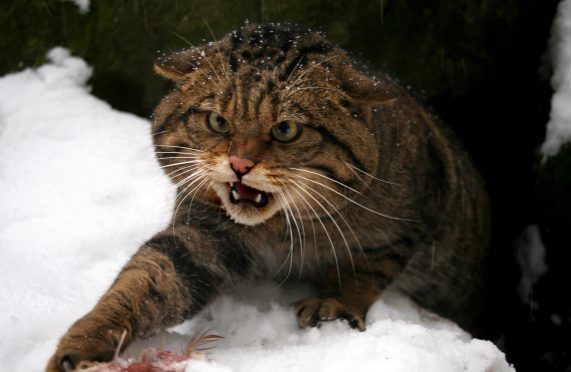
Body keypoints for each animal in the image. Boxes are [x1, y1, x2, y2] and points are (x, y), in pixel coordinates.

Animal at [45, 24, 492, 370]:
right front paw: (83, 341)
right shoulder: (205, 233)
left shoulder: (404, 223)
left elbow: (364, 266)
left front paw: (335, 303)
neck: (285, 232)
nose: (240, 163)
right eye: (217, 121)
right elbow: (145, 279)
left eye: (285, 129)